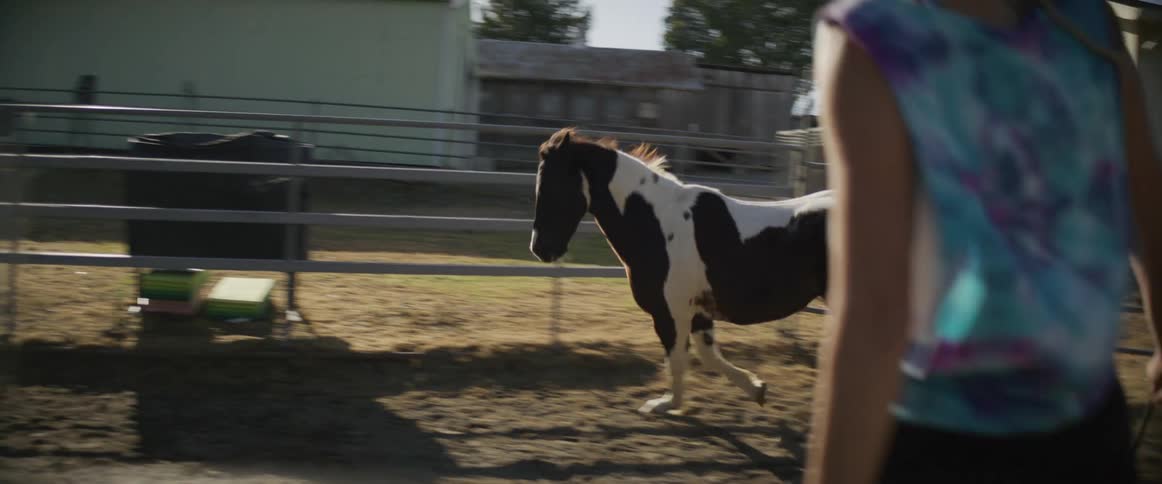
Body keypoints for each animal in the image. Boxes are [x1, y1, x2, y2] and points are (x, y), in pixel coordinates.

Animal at [529, 127, 832, 415]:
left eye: (552, 186)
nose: (540, 249)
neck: (660, 226)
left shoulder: (670, 312)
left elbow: (676, 359)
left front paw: (665, 404)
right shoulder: (698, 312)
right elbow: (707, 355)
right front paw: (757, 388)